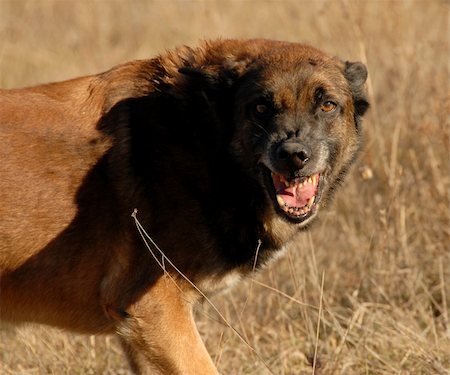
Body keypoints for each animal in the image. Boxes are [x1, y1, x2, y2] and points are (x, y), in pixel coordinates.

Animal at [0, 39, 370, 374]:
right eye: (261, 108)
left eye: (327, 106)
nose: (294, 156)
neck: (199, 135)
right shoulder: (155, 309)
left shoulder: (138, 331)